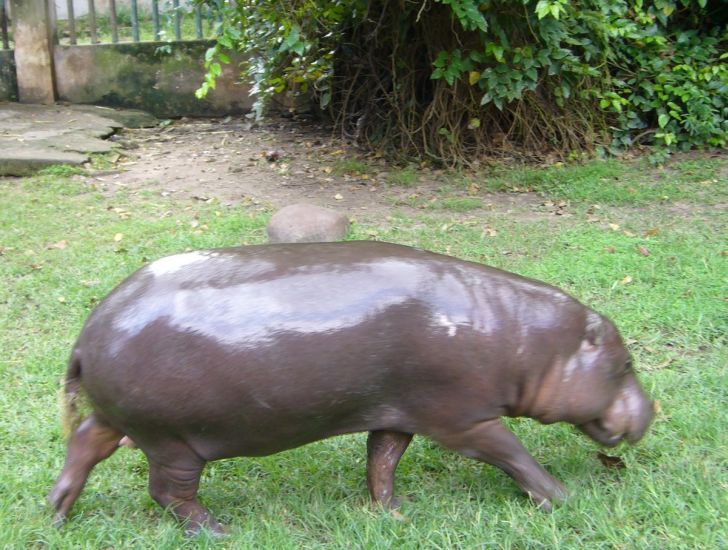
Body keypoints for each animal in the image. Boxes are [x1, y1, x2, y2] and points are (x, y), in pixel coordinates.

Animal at [51, 242, 656, 536]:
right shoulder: (464, 421)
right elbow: (513, 454)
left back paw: (58, 512)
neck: (528, 338)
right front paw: (562, 498)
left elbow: (382, 461)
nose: (651, 410)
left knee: (85, 444)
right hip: (172, 441)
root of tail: (86, 334)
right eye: (625, 362)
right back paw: (218, 530)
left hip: (123, 421)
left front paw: (395, 512)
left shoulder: (396, 410)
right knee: (169, 493)